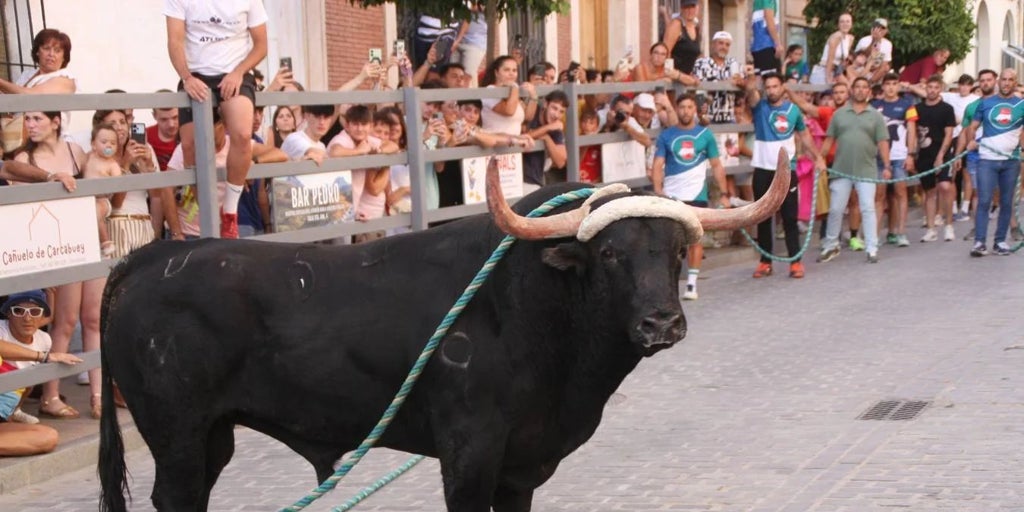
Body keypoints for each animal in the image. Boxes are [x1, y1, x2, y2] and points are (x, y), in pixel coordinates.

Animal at [97, 169, 782, 509]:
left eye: (676, 252)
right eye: (610, 253)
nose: (661, 323)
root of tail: (152, 257)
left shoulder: (520, 469)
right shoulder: (470, 455)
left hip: (212, 435)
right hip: (175, 434)